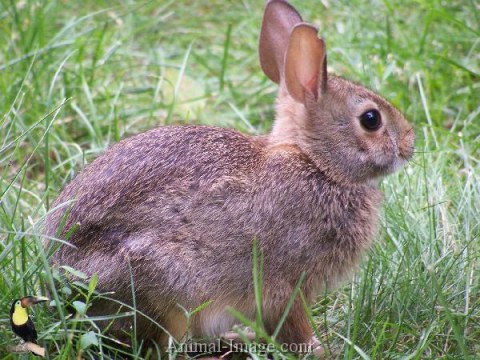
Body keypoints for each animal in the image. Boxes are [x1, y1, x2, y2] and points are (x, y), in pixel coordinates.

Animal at [44, 0, 412, 356]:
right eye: (371, 119)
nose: (410, 143)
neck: (316, 163)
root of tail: (60, 282)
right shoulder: (286, 284)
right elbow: (292, 325)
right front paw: (321, 351)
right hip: (161, 281)